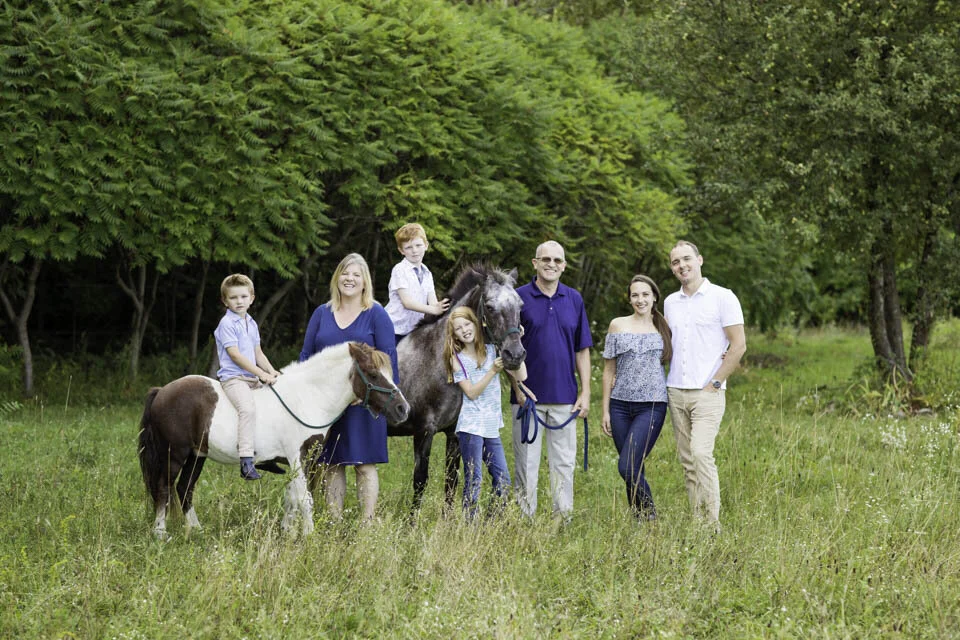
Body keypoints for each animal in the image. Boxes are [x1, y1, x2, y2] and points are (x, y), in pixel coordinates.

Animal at [138, 341, 409, 538]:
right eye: (373, 374)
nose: (402, 409)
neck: (308, 397)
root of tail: (161, 391)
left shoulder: (301, 461)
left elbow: (293, 497)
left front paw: (288, 532)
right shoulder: (297, 457)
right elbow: (304, 499)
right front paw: (309, 536)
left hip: (197, 455)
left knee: (185, 489)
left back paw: (196, 530)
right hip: (175, 454)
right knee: (164, 488)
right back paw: (160, 533)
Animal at [388, 264, 526, 510]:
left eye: (520, 305)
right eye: (489, 306)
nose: (515, 355)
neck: (437, 361)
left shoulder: (454, 434)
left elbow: (451, 482)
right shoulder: (424, 431)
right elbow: (420, 481)